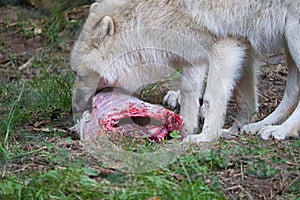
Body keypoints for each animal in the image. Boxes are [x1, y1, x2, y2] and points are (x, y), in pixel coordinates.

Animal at [71, 0, 300, 143]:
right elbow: (201, 95)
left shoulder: (225, 48)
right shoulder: (234, 47)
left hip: (293, 36)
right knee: (293, 92)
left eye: (79, 75)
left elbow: (211, 98)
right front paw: (193, 130)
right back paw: (262, 126)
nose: (75, 109)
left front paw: (205, 138)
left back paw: (282, 131)